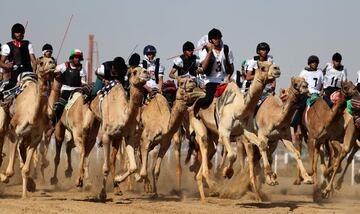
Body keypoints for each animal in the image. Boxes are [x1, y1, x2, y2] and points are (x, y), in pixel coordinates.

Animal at [0, 56, 56, 197]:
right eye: (41, 63)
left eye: (52, 60)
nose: (52, 64)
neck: (32, 115)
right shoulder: (14, 132)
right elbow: (10, 171)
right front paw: (4, 177)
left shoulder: (36, 137)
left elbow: (25, 168)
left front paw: (25, 194)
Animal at [90, 67, 150, 201]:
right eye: (134, 72)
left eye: (144, 70)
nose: (146, 73)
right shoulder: (106, 136)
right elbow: (105, 167)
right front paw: (102, 194)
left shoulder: (128, 137)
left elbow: (133, 167)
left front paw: (118, 179)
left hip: (117, 139)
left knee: (112, 161)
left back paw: (117, 189)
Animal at [191, 60, 282, 201]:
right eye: (262, 67)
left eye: (272, 63)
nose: (277, 69)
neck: (238, 109)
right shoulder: (224, 132)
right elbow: (232, 155)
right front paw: (227, 172)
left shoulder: (246, 132)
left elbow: (261, 144)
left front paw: (270, 176)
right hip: (199, 125)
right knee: (204, 144)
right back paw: (213, 189)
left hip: (212, 134)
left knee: (209, 153)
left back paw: (205, 197)